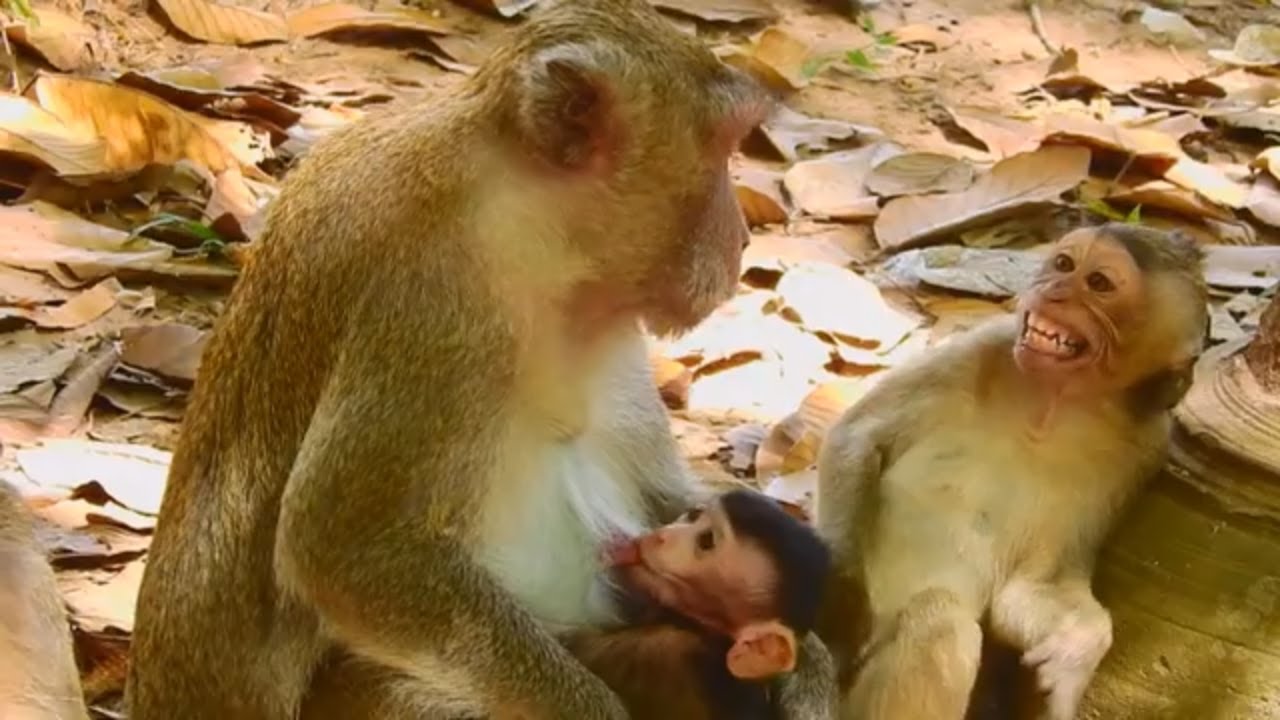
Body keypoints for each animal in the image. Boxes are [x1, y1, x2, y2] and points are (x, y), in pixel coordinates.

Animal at [813, 223, 1209, 720]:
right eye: (1064, 264)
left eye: (1098, 282)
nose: (1052, 289)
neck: (1051, 403)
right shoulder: (985, 342)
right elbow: (857, 437)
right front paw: (839, 599)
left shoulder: (1144, 453)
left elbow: (1028, 588)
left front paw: (1077, 651)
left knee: (939, 620)